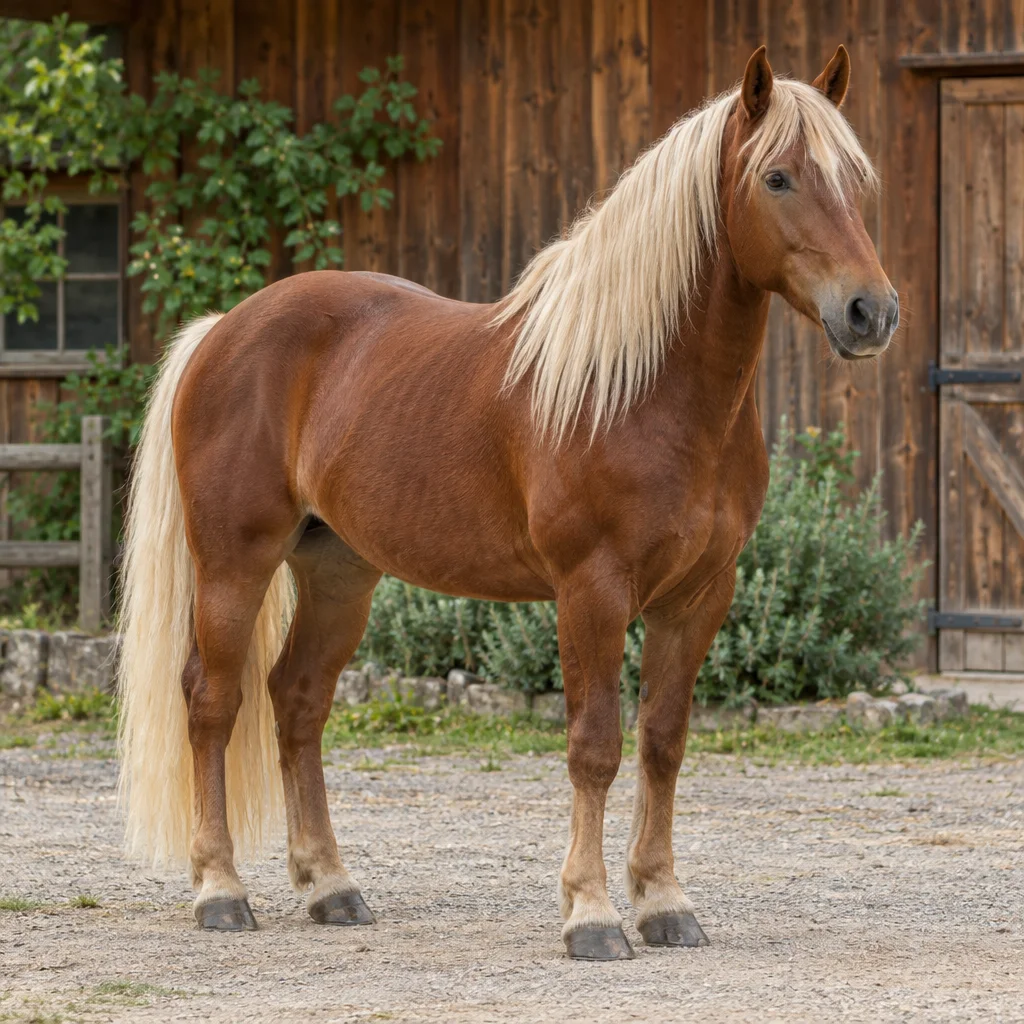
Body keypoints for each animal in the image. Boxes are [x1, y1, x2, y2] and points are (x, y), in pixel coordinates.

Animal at [117, 44, 897, 961]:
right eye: (777, 178)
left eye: (858, 179)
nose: (870, 311)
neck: (646, 388)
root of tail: (223, 328)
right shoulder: (591, 591)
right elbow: (594, 746)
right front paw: (591, 914)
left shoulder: (700, 596)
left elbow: (663, 743)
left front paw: (664, 903)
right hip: (234, 563)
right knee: (212, 700)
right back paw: (219, 890)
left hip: (338, 573)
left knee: (299, 700)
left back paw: (332, 886)